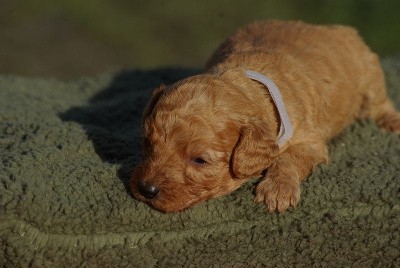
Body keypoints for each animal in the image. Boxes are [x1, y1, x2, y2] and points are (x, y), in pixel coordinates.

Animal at [130, 19, 400, 213]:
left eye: (200, 160)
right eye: (148, 142)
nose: (146, 189)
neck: (246, 85)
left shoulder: (310, 139)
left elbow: (290, 157)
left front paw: (278, 189)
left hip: (369, 71)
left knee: (379, 102)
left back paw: (391, 121)